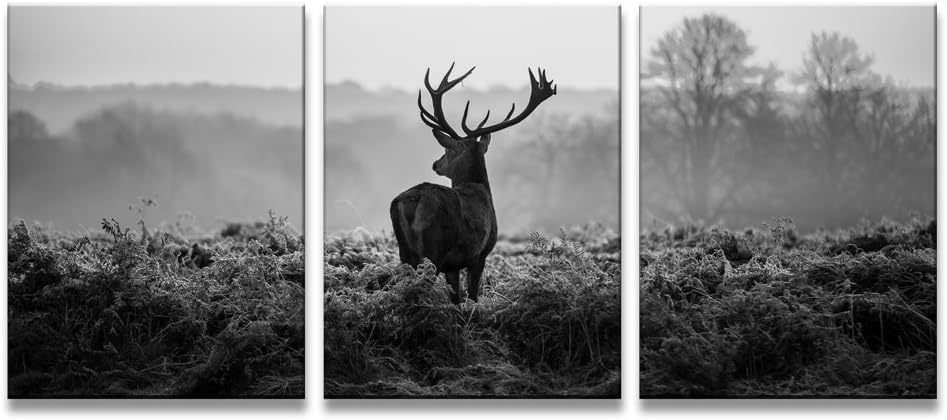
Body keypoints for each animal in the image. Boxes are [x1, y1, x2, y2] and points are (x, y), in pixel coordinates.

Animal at [390, 63, 556, 304]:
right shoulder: (480, 254)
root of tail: (413, 201)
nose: (436, 164)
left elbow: (456, 298)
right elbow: (473, 296)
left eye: (447, 150)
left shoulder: (453, 265)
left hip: (405, 252)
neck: (480, 187)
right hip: (434, 250)